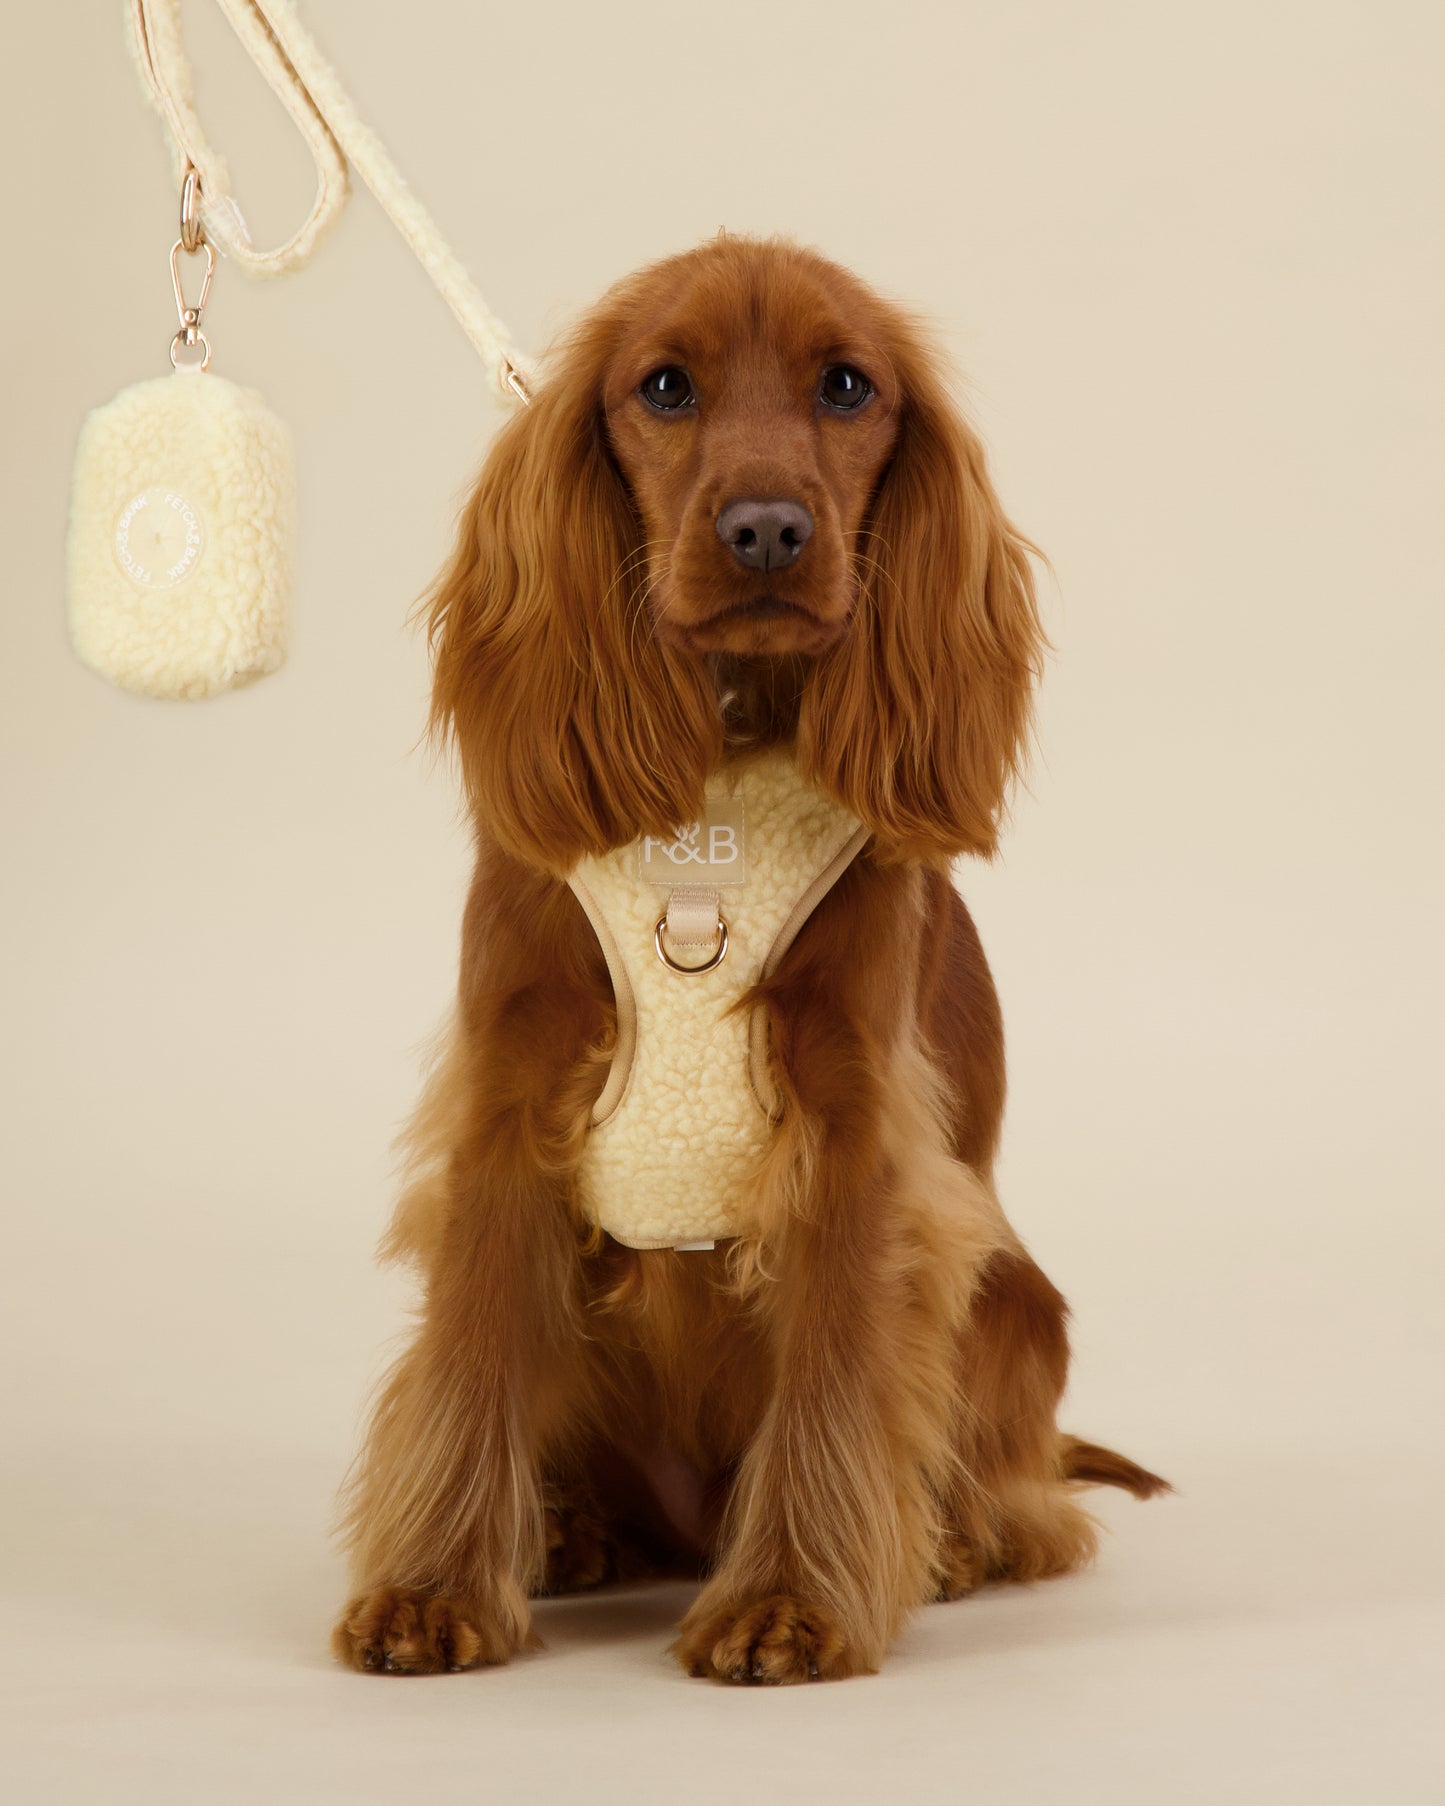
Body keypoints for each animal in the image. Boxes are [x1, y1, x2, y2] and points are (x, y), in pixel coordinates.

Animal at [330, 232, 1163, 1683]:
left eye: (846, 386)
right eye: (665, 385)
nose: (766, 530)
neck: (720, 777)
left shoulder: (850, 1121)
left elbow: (835, 1370)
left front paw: (789, 1605)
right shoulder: (509, 1097)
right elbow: (472, 1349)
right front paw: (432, 1588)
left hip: (1011, 1298)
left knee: (1027, 1493)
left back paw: (950, 1542)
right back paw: (567, 1530)